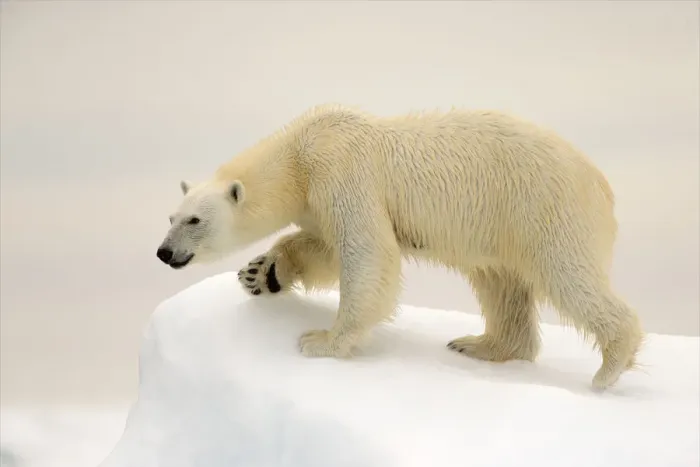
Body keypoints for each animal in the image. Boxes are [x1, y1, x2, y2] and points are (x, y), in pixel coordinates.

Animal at [156, 103, 644, 390]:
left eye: (195, 220)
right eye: (170, 217)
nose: (164, 253)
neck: (298, 155)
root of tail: (601, 184)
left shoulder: (341, 171)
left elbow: (367, 251)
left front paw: (322, 340)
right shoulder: (317, 195)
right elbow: (324, 247)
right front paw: (261, 273)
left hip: (543, 210)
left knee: (568, 275)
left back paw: (609, 368)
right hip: (499, 227)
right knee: (500, 283)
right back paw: (479, 344)